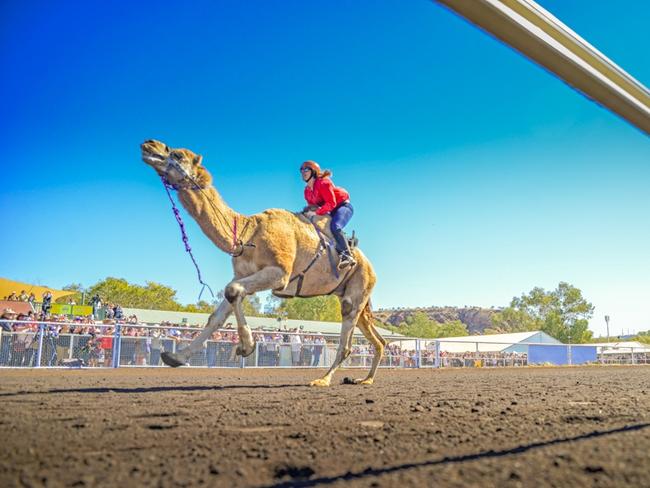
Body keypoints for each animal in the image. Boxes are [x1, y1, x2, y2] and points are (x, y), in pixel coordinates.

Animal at [140, 138, 384, 386]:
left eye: (178, 155)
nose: (149, 144)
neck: (247, 233)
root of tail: (371, 268)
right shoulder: (243, 274)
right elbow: (217, 315)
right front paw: (175, 357)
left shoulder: (280, 274)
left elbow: (232, 290)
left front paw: (247, 347)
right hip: (352, 297)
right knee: (379, 340)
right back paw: (365, 380)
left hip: (356, 291)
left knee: (347, 342)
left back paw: (323, 380)